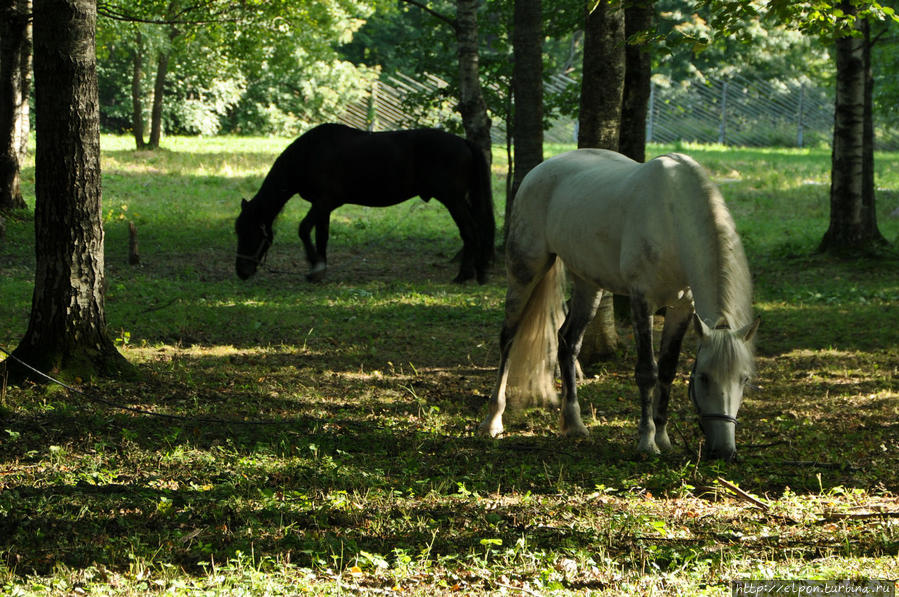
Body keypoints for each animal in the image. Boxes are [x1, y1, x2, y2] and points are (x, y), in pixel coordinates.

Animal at [232, 122, 496, 282]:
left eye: (250, 233)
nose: (242, 272)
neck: (310, 154)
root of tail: (464, 142)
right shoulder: (323, 206)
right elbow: (321, 235)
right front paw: (320, 269)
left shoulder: (326, 201)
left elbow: (304, 229)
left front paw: (315, 266)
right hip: (462, 200)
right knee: (478, 230)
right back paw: (477, 272)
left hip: (453, 200)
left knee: (470, 231)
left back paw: (463, 276)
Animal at [478, 149, 760, 460]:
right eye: (704, 378)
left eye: (744, 380)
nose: (724, 450)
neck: (673, 217)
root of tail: (538, 171)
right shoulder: (642, 301)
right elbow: (647, 372)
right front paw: (647, 441)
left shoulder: (683, 308)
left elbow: (667, 370)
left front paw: (663, 437)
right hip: (525, 271)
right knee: (508, 338)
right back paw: (493, 421)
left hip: (588, 285)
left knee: (568, 342)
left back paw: (574, 424)